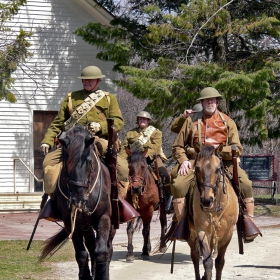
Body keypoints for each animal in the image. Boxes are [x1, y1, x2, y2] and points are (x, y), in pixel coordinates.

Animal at [38, 124, 114, 280]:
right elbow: (81, 254)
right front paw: (85, 276)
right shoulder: (71, 222)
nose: (78, 200)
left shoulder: (104, 218)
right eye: (66, 162)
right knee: (91, 244)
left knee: (107, 247)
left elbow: (102, 252)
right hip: (85, 224)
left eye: (90, 162)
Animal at [184, 145, 238, 280]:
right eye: (197, 168)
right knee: (195, 256)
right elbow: (207, 262)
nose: (206, 200)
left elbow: (219, 262)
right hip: (192, 234)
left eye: (218, 169)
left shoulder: (227, 234)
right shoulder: (202, 231)